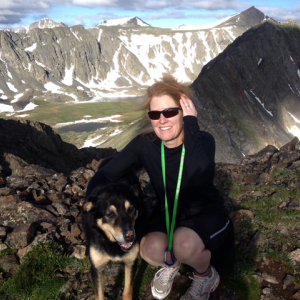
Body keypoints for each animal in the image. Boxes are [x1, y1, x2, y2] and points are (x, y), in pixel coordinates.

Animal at [82, 164, 145, 300]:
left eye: (131, 209)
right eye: (110, 214)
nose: (130, 236)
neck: (112, 243)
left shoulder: (131, 262)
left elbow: (127, 292)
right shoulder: (97, 268)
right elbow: (99, 295)